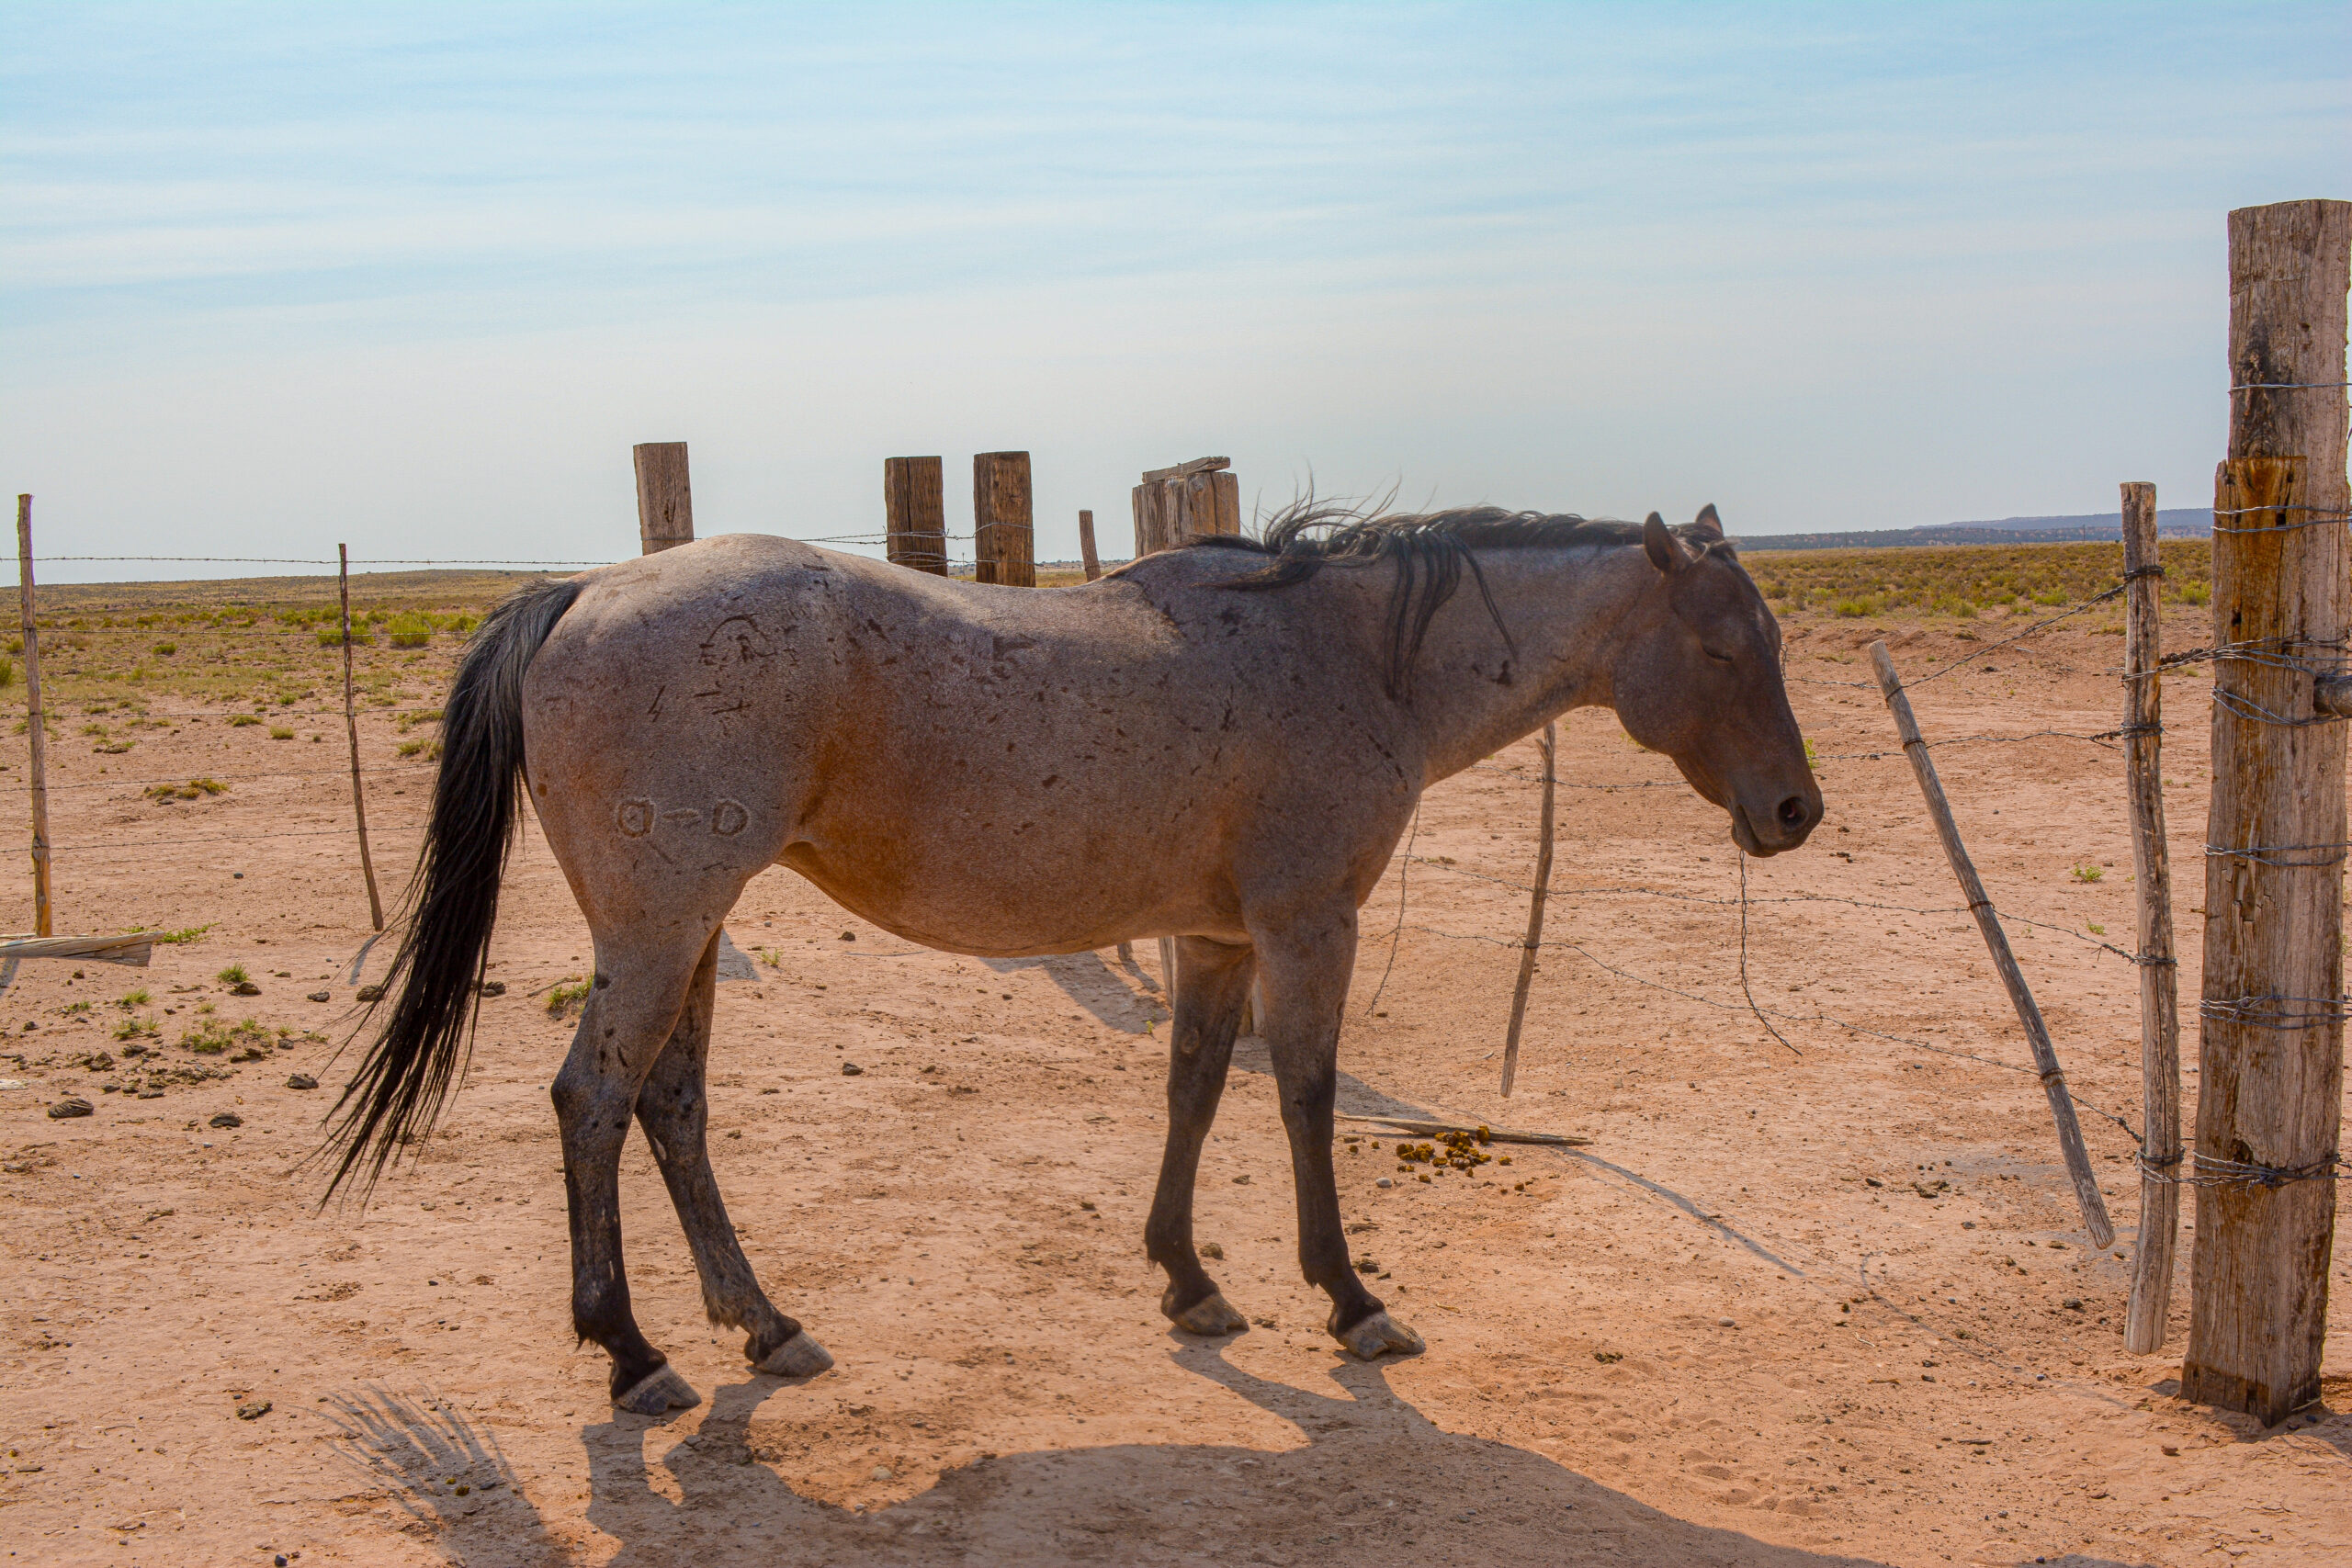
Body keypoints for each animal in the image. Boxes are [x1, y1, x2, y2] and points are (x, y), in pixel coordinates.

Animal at [325, 500, 1819, 1415]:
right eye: (1721, 646)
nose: (1796, 810)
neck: (1342, 651)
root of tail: (585, 591)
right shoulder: (1306, 924)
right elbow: (1305, 1099)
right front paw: (1348, 1298)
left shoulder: (1214, 935)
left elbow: (1195, 1087)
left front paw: (1189, 1279)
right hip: (657, 930)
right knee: (594, 1100)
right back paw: (631, 1352)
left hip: (688, 932)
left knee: (670, 1106)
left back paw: (762, 1322)